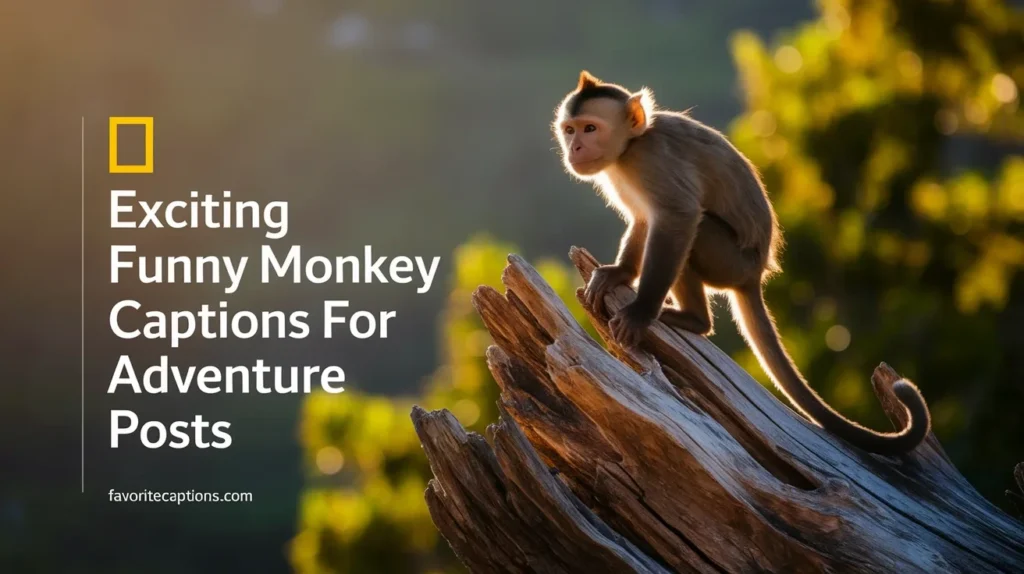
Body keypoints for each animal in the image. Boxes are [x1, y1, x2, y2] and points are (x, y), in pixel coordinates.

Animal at [552, 70, 930, 455]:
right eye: (570, 130)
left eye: (590, 129)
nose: (575, 148)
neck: (630, 147)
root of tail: (755, 275)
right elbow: (644, 220)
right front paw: (620, 273)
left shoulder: (650, 162)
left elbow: (676, 218)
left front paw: (641, 309)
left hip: (730, 262)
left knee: (696, 229)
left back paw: (694, 320)